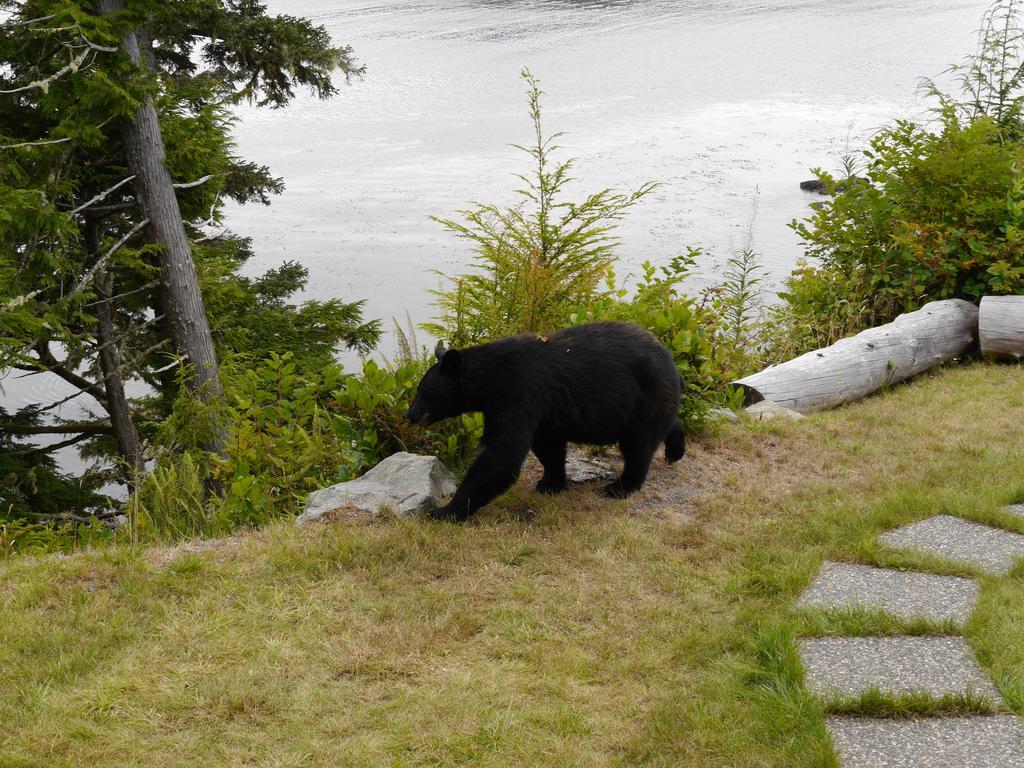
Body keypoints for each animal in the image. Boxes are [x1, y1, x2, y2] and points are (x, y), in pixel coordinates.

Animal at [407, 319, 688, 524]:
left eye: (422, 392)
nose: (409, 415)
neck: (491, 378)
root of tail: (672, 363)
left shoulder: (520, 393)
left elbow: (502, 456)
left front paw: (443, 511)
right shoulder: (542, 410)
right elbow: (547, 445)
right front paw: (550, 483)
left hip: (646, 395)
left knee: (638, 445)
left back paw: (621, 487)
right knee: (663, 426)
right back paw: (675, 450)